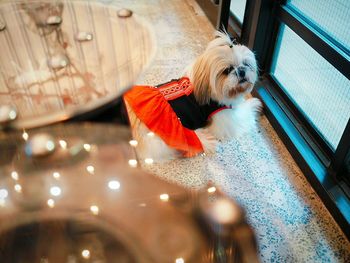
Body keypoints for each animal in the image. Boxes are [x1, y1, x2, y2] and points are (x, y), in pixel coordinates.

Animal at [124, 32, 262, 162]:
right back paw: (205, 139)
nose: (242, 71)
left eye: (246, 64)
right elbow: (244, 115)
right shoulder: (225, 118)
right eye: (227, 70)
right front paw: (254, 104)